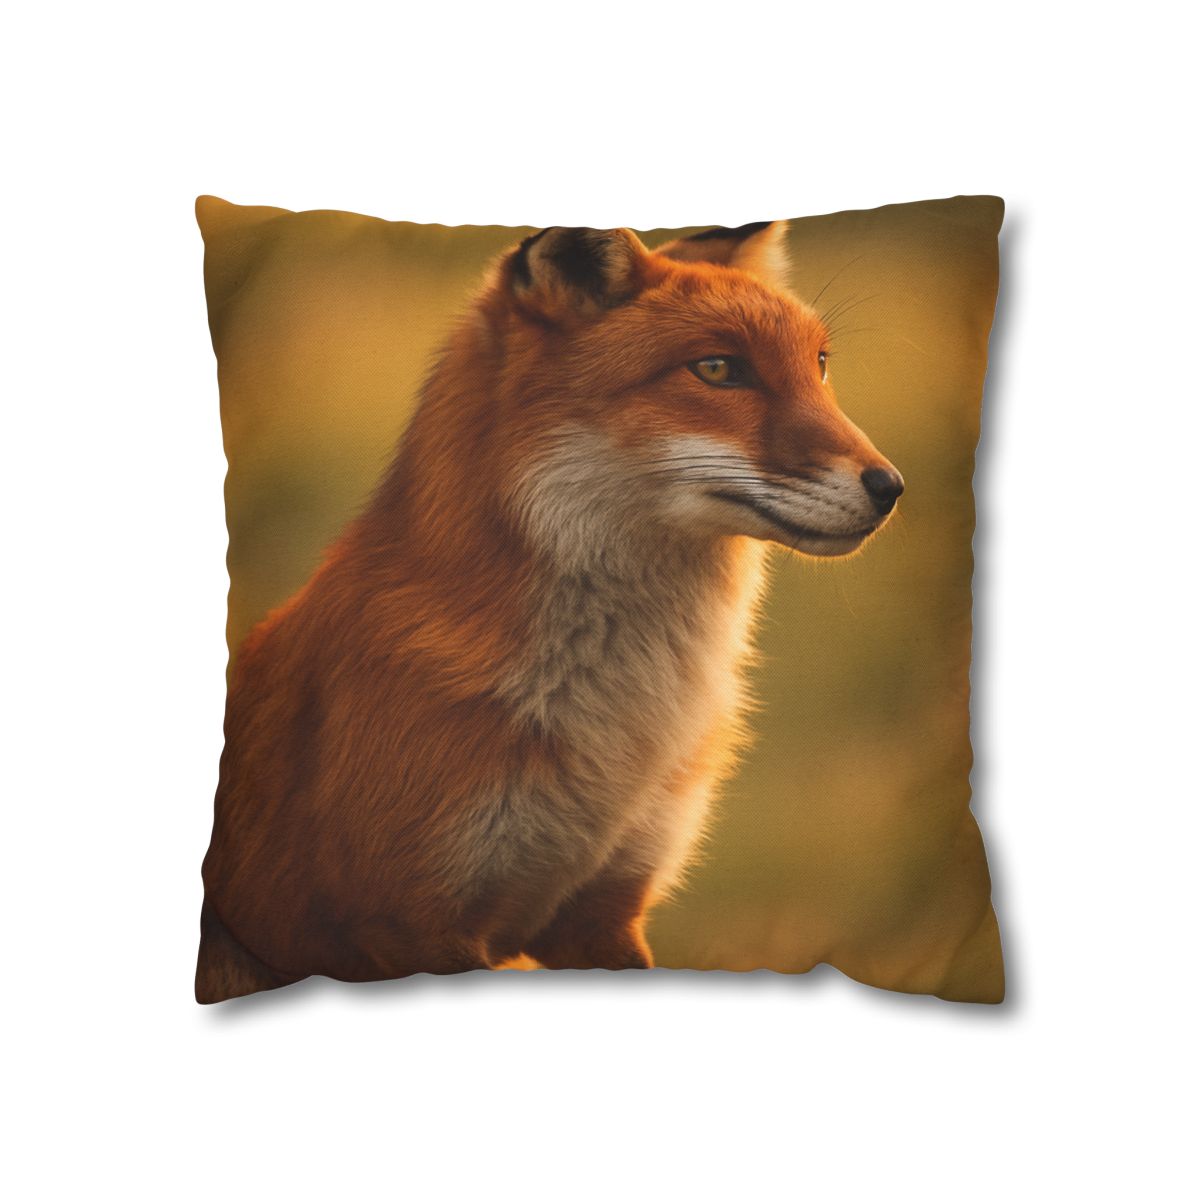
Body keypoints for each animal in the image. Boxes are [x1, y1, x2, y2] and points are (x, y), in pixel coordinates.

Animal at [197, 219, 904, 1003]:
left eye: (820, 366)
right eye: (719, 369)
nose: (891, 487)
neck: (623, 727)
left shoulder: (604, 913)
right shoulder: (412, 922)